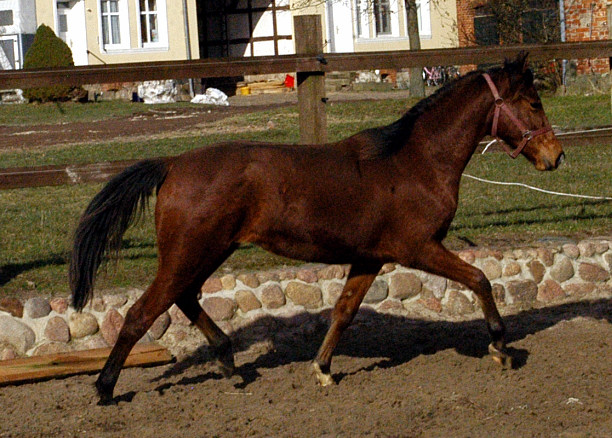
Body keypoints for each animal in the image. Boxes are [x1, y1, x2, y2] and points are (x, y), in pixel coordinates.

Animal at [68, 53, 564, 406]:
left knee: (183, 298)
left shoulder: (369, 258)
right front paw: (501, 347)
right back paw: (105, 389)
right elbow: (480, 279)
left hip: (208, 250)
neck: (416, 162)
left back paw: (230, 363)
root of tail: (172, 164)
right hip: (191, 250)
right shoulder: (419, 248)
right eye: (534, 103)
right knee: (142, 313)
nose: (555, 156)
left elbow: (343, 312)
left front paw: (323, 369)